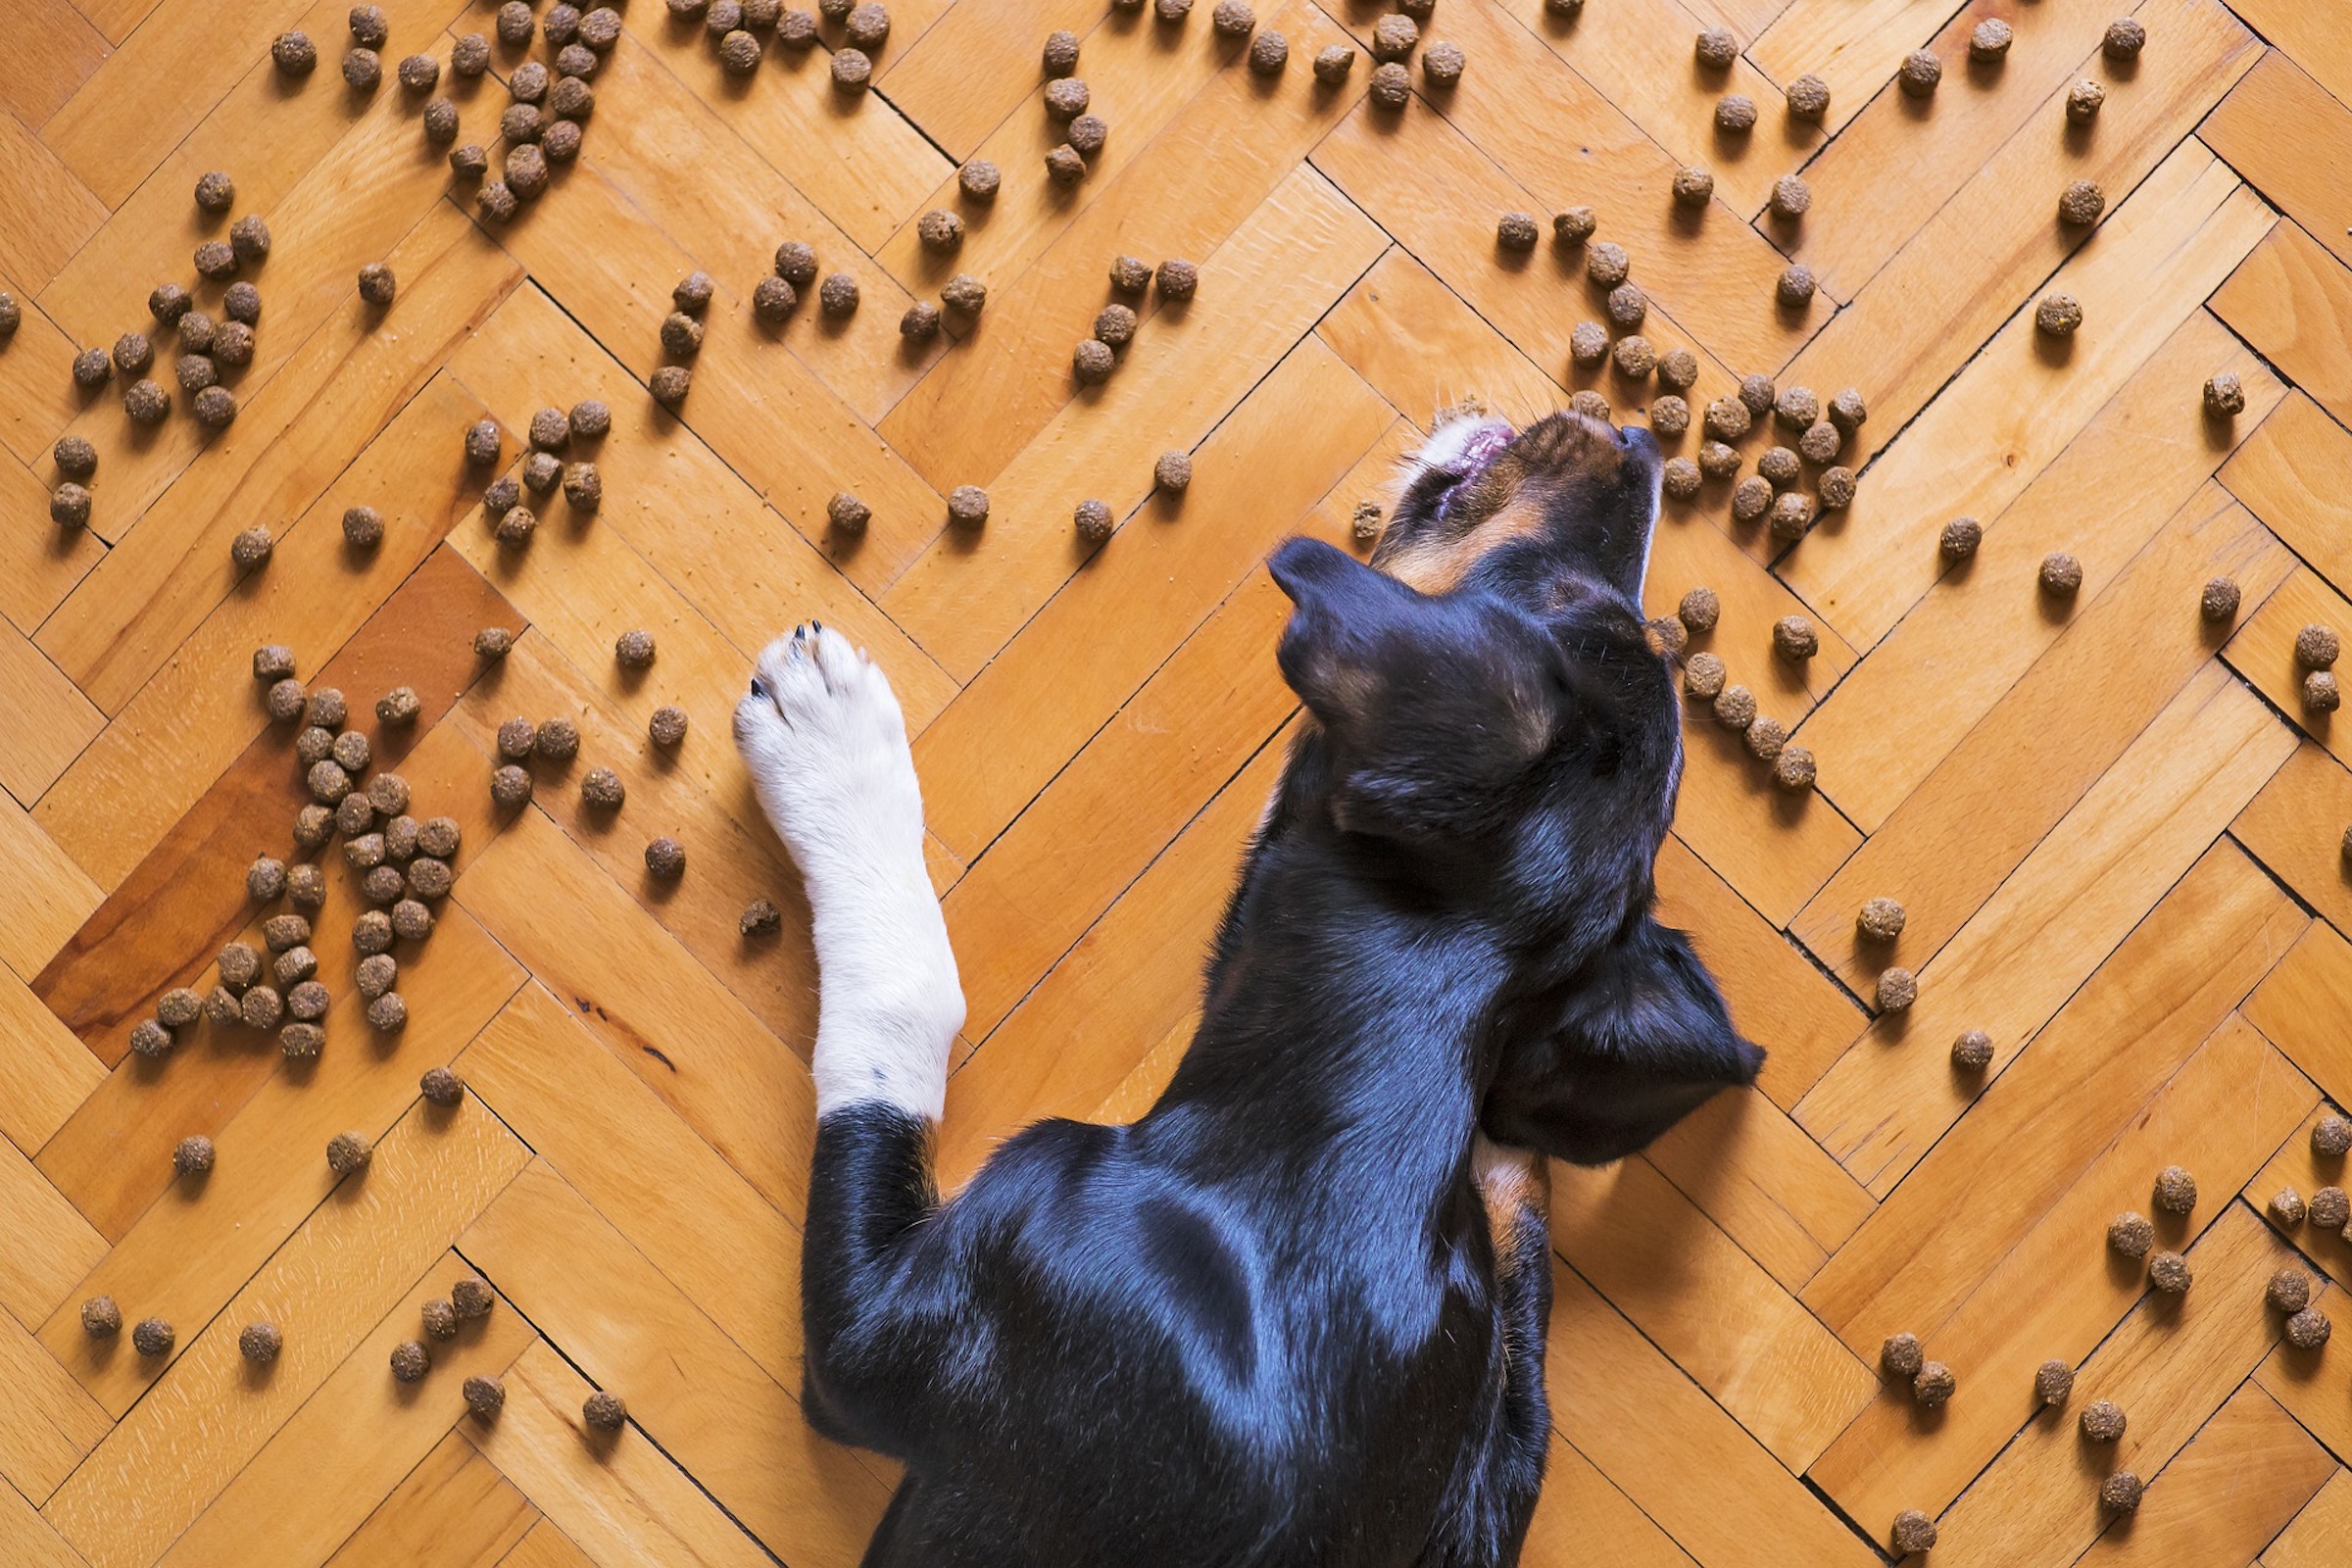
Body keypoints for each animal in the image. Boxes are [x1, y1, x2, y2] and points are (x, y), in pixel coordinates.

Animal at [733, 411, 1768, 1560]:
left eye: (1549, 595)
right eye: (1601, 607)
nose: (1632, 439)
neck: (1331, 1136)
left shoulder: (874, 1340)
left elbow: (902, 1008)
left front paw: (828, 742)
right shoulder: (1489, 1441)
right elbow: (1515, 1293)